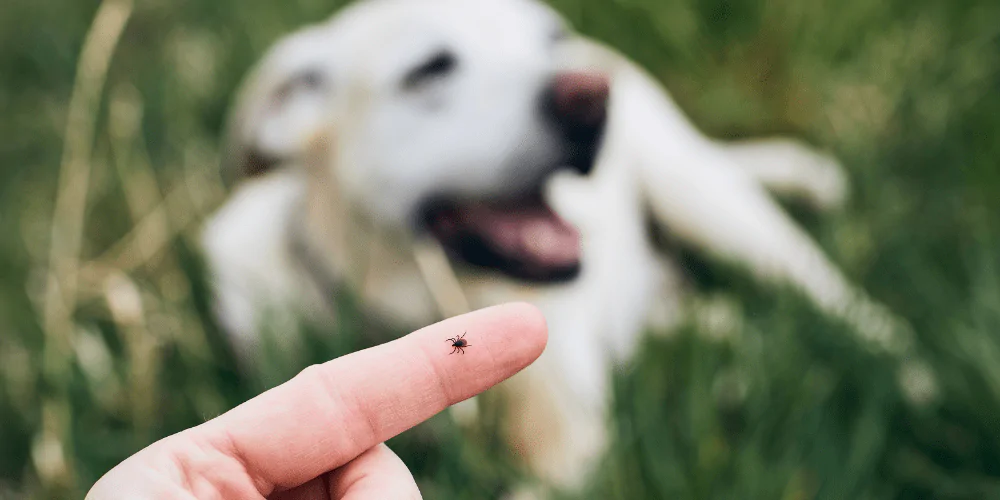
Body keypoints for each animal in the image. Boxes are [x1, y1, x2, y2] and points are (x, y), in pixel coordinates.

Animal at [201, 0, 908, 492]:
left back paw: (909, 377)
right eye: (429, 69)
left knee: (840, 302)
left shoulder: (567, 451)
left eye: (550, 38)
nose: (591, 94)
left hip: (707, 202)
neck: (413, 301)